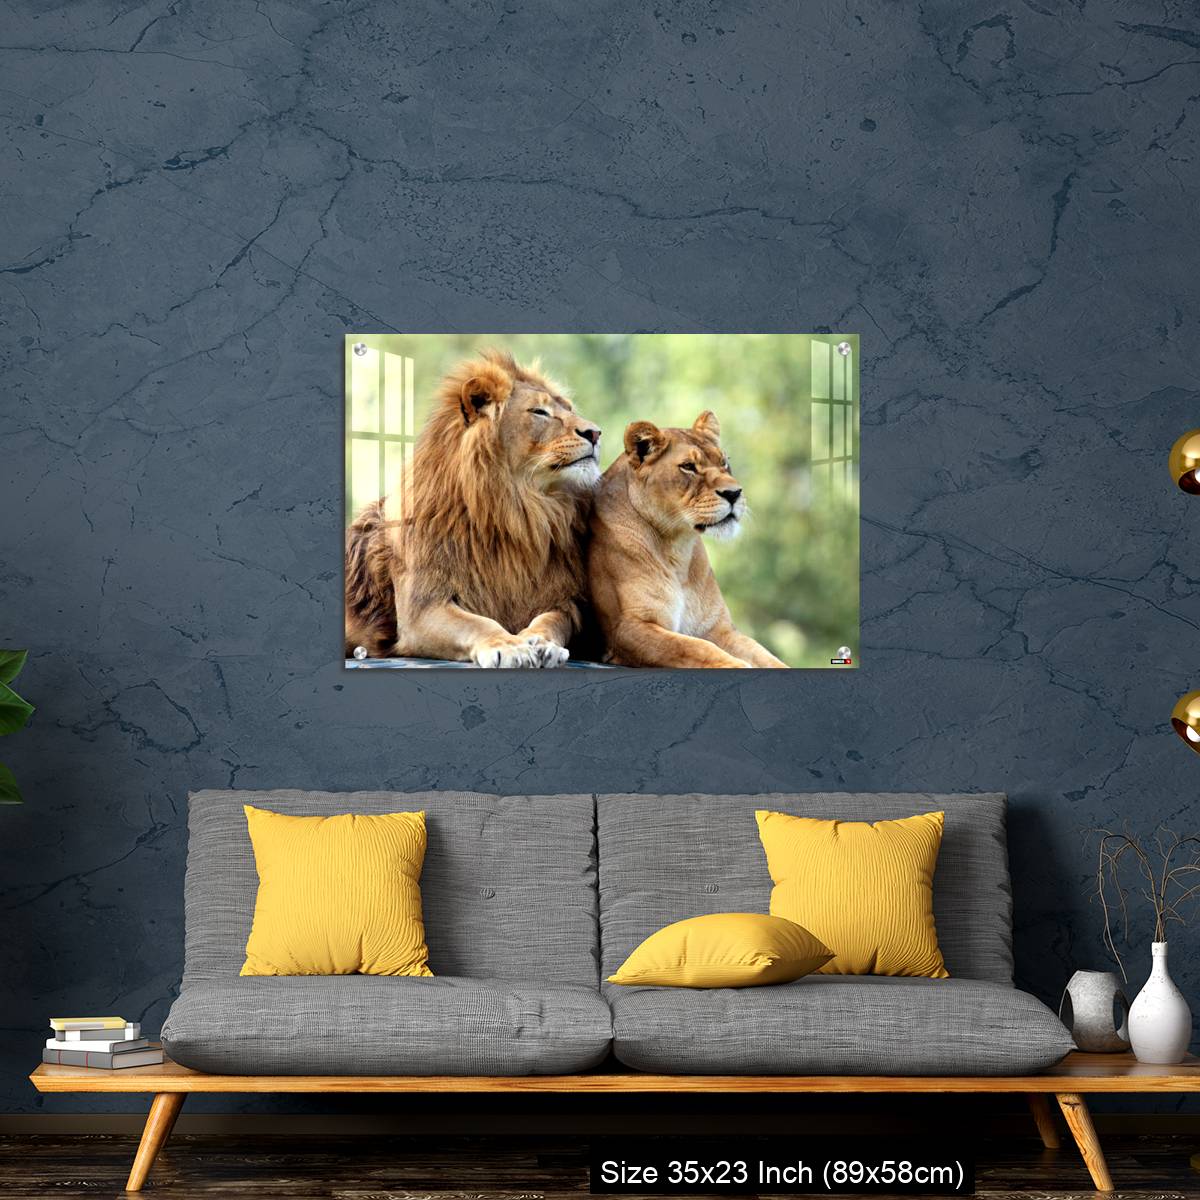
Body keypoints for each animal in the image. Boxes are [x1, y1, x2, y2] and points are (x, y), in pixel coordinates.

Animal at [345, 350, 602, 667]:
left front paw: (542, 642)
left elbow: (552, 620)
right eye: (539, 412)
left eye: (569, 408)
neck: (519, 511)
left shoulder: (563, 600)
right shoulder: (422, 608)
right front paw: (509, 645)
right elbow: (478, 623)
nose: (596, 433)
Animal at [587, 411, 787, 668]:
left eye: (724, 463)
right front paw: (737, 665)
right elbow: (694, 647)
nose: (734, 493)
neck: (677, 548)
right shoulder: (627, 629)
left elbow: (764, 654)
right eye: (688, 467)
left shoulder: (718, 628)